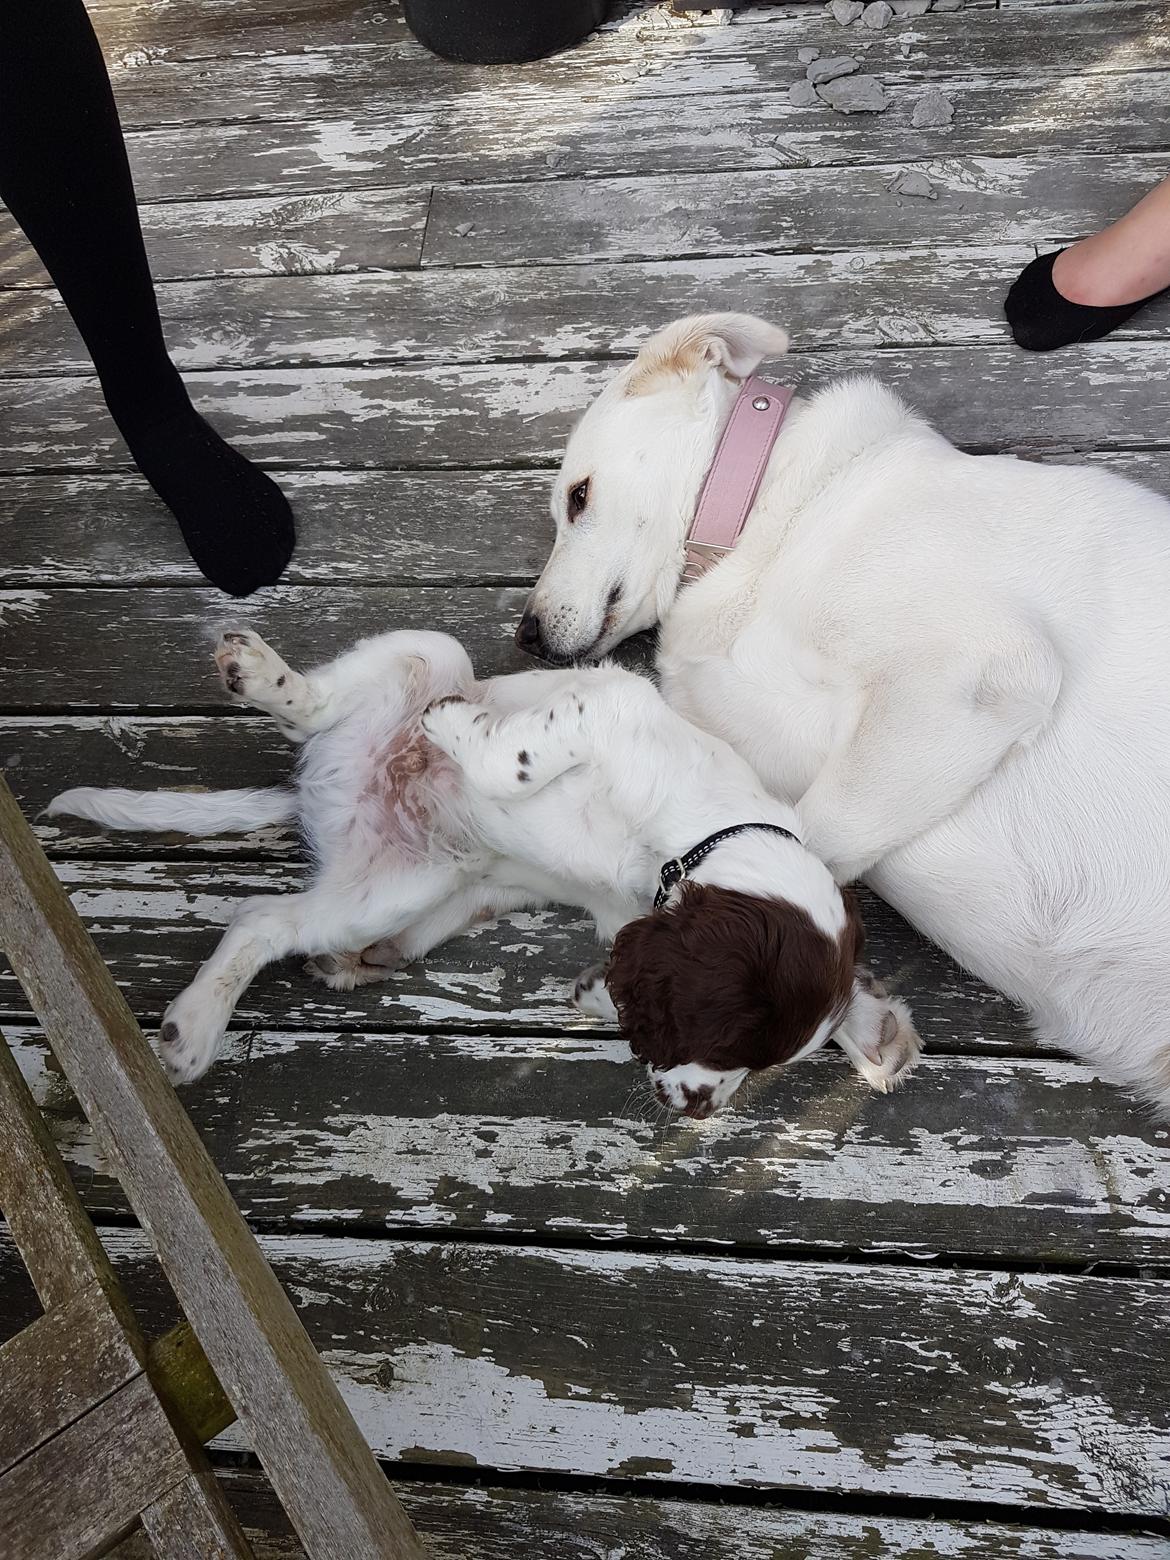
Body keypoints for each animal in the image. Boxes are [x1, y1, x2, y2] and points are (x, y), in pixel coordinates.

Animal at [50, 627, 923, 1104]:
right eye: (725, 1040)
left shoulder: (624, 912)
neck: (685, 836)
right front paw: (460, 734)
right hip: (425, 658)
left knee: (274, 921)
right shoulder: (609, 707)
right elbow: (521, 755)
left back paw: (305, 979)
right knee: (317, 719)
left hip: (401, 887)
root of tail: (324, 785)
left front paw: (872, 1031)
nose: (700, 1114)